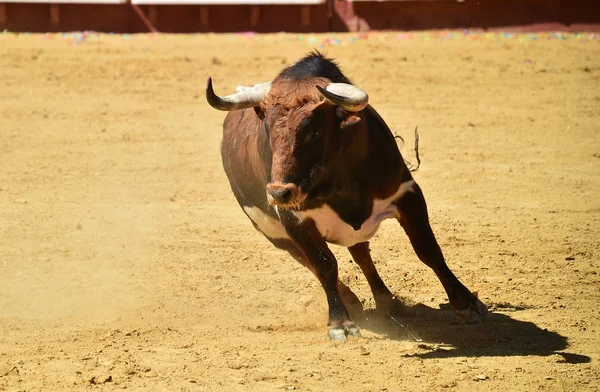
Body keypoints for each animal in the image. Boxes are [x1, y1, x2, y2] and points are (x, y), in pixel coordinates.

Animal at [206, 52, 488, 340]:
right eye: (268, 129)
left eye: (315, 131)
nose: (279, 193)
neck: (340, 181)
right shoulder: (295, 220)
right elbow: (324, 266)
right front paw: (341, 322)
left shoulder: (408, 194)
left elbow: (428, 250)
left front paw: (467, 304)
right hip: (273, 233)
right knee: (309, 260)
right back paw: (353, 302)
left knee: (362, 254)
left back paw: (388, 302)